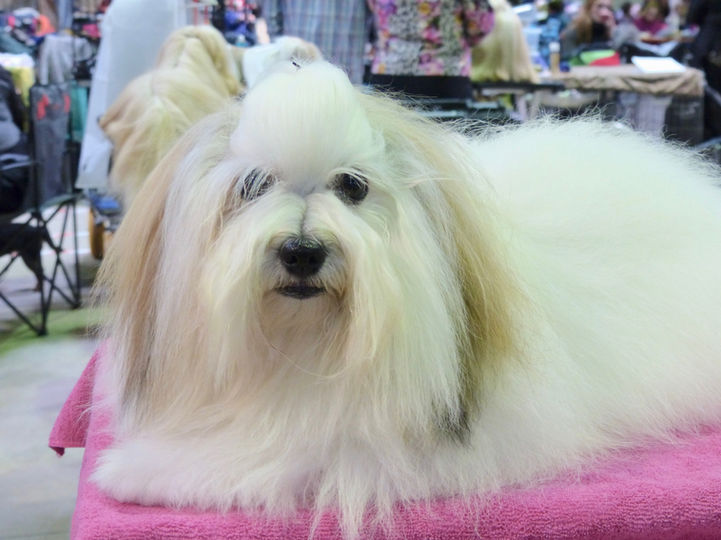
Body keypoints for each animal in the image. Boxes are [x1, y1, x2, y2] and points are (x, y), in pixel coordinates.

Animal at [92, 61, 721, 538]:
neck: (303, 350)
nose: (302, 251)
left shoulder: (381, 447)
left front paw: (140, 468)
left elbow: (282, 456)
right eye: (252, 186)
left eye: (353, 186)